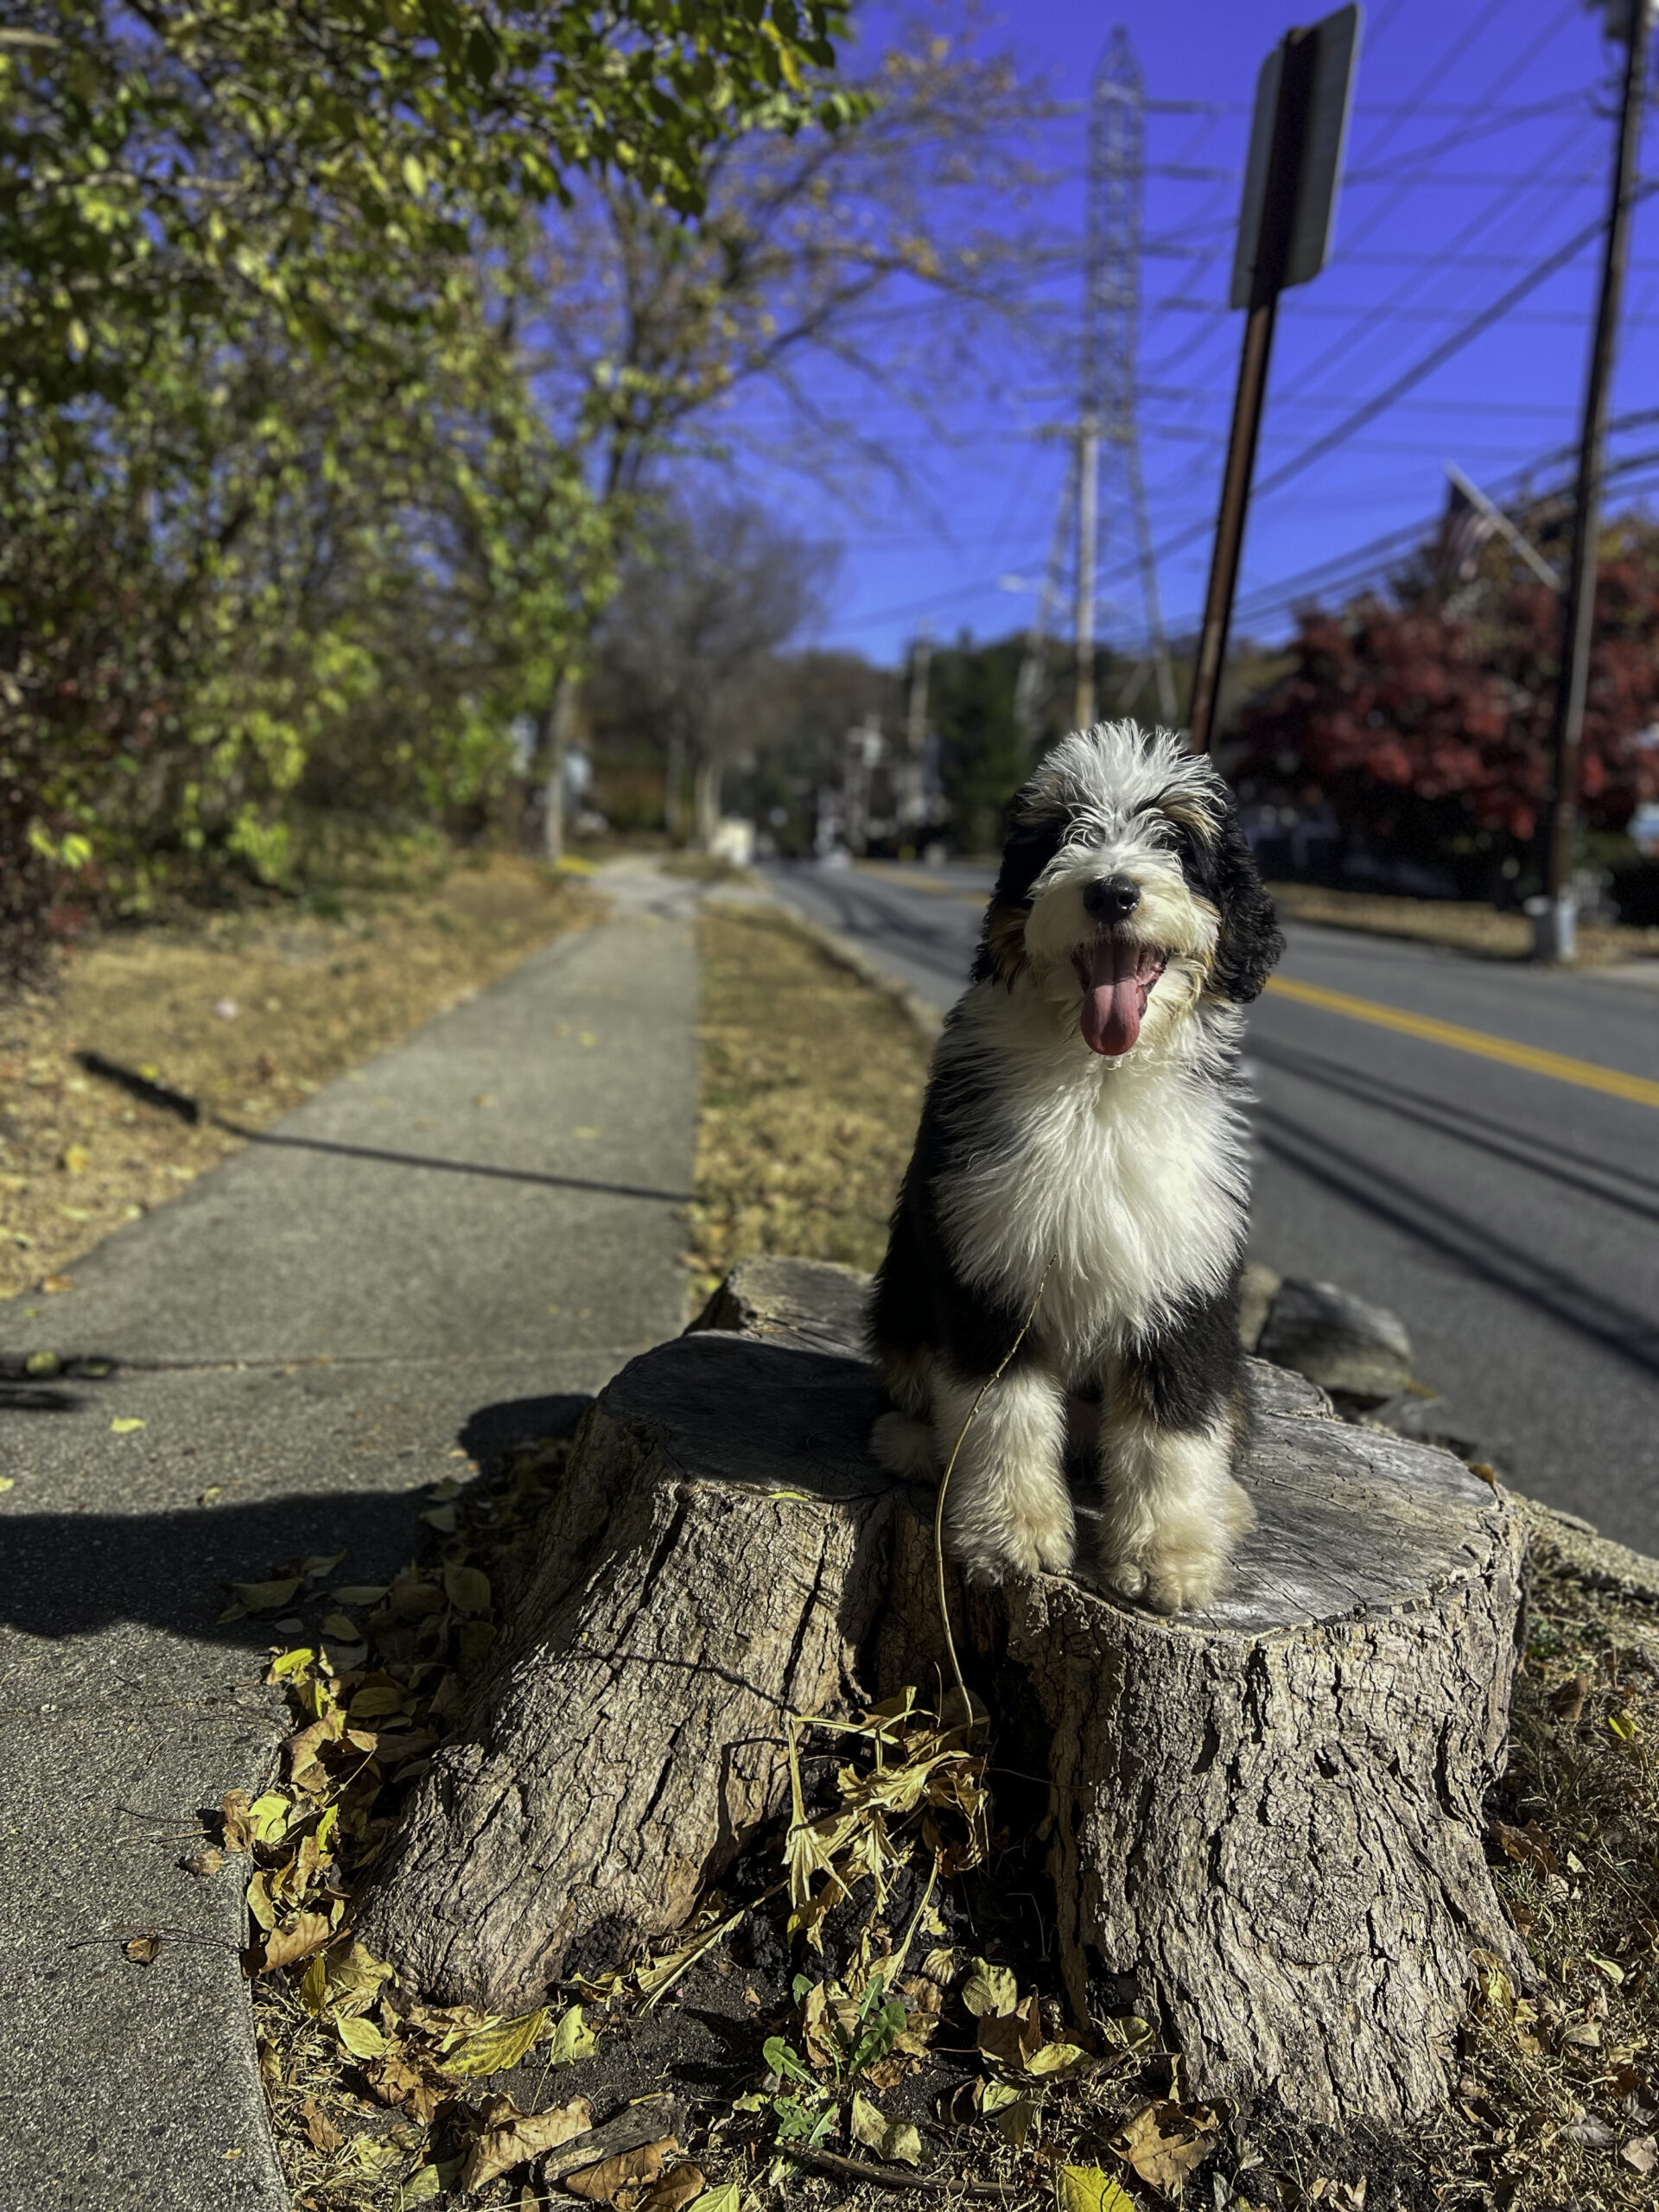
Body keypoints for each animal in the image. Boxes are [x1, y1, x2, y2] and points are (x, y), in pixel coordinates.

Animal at [871, 725, 1282, 1610]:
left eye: (1176, 841)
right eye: (1066, 831)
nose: (1112, 893)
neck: (1099, 1079)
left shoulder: (1187, 1272)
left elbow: (1175, 1425)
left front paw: (1167, 1554)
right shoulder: (990, 1259)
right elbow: (1003, 1413)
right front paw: (1011, 1536)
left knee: (1221, 1414)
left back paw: (1224, 1505)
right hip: (904, 1294)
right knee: (910, 1374)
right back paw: (915, 1446)